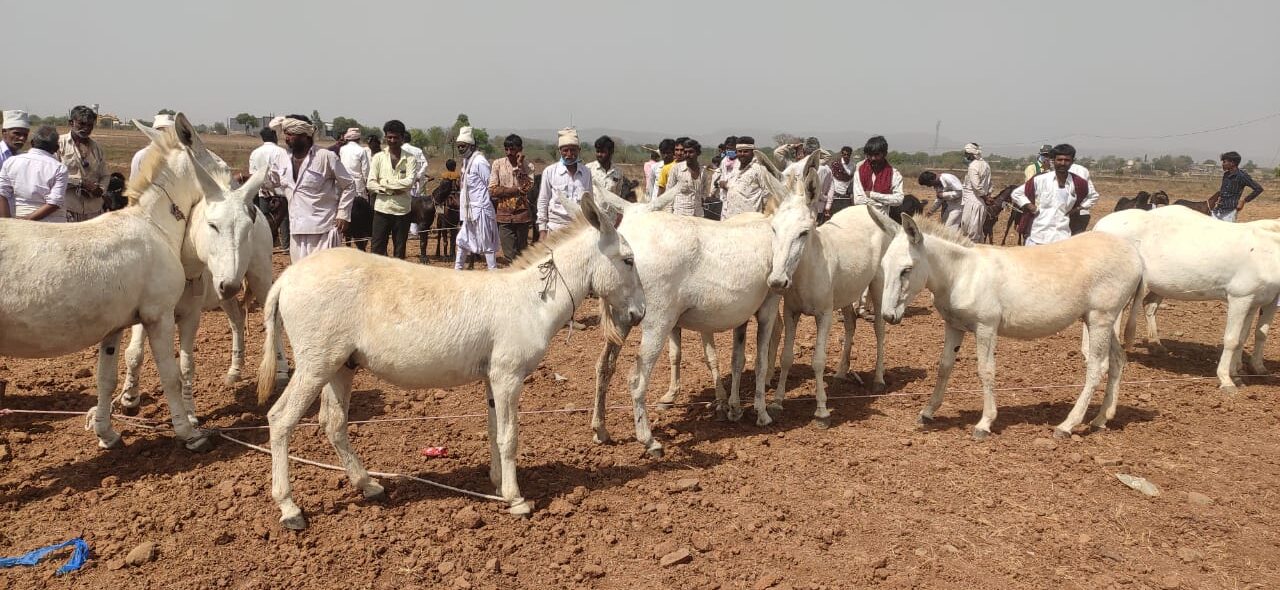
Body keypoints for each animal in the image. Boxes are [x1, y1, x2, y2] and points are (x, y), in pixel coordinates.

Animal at [0, 112, 225, 447]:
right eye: (220, 165)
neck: (153, 224)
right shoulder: (159, 315)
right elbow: (169, 375)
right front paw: (189, 433)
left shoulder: (114, 326)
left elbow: (105, 379)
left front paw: (106, 433)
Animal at [259, 194, 645, 529]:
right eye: (628, 260)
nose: (639, 314)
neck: (531, 301)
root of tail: (286, 278)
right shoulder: (508, 376)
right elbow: (509, 436)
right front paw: (516, 499)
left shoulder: (493, 378)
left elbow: (493, 429)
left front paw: (496, 483)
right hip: (315, 365)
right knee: (280, 420)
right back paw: (290, 509)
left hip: (341, 366)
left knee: (333, 423)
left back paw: (368, 486)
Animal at [768, 204, 890, 424]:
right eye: (774, 229)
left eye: (803, 233)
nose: (777, 281)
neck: (809, 269)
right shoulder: (791, 312)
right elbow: (786, 357)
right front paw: (776, 403)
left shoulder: (824, 315)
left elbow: (818, 360)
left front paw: (822, 411)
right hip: (846, 293)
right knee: (851, 324)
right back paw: (841, 373)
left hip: (878, 284)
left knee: (879, 329)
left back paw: (879, 379)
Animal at [880, 211, 1141, 437]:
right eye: (883, 266)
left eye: (906, 269)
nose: (888, 316)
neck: (963, 273)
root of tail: (1136, 256)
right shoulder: (954, 326)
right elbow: (944, 366)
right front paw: (927, 412)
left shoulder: (986, 327)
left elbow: (985, 370)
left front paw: (984, 423)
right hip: (1101, 320)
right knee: (1118, 360)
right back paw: (1101, 419)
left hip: (1099, 320)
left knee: (1097, 368)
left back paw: (1067, 425)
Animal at [1090, 207, 1280, 391]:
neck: (1267, 252)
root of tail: (1100, 225)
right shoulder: (1240, 298)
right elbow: (1232, 340)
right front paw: (1227, 380)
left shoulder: (1258, 302)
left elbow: (1250, 336)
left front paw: (1247, 372)